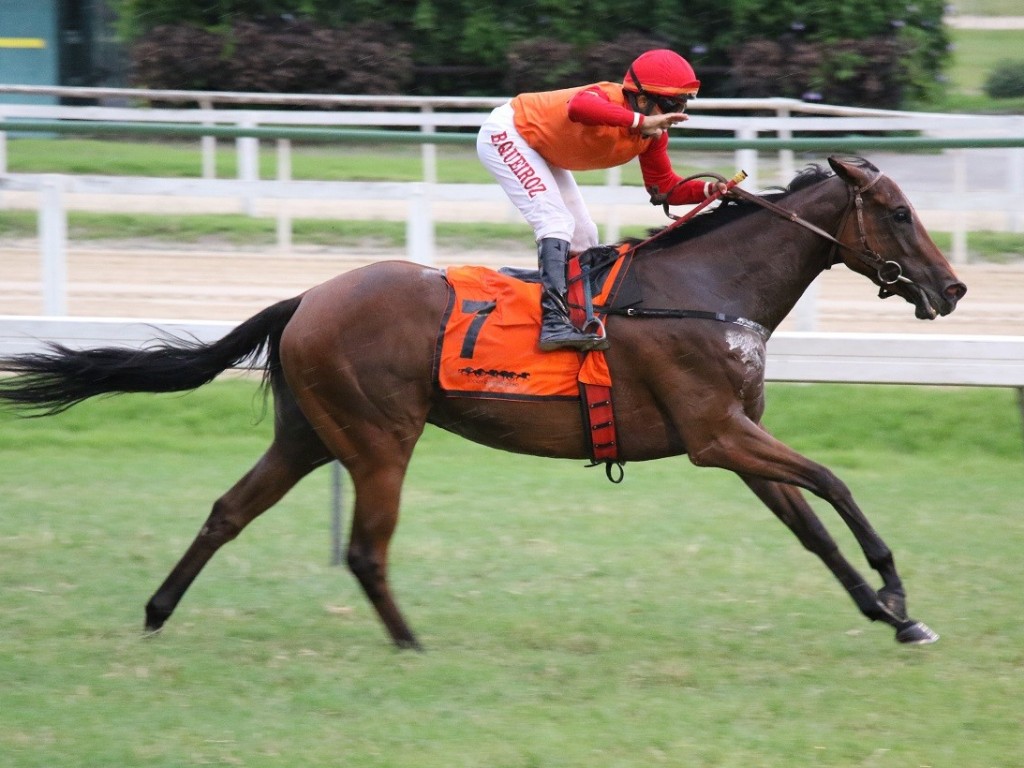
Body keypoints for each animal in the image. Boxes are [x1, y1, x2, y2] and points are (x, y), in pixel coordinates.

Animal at [0, 156, 962, 651]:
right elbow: (835, 485)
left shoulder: (735, 435)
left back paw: (158, 613)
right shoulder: (715, 434)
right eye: (900, 212)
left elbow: (810, 527)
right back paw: (409, 641)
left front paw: (889, 615)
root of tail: (305, 298)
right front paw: (896, 588)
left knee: (228, 511)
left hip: (308, 436)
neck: (704, 289)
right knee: (365, 548)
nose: (952, 289)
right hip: (378, 439)